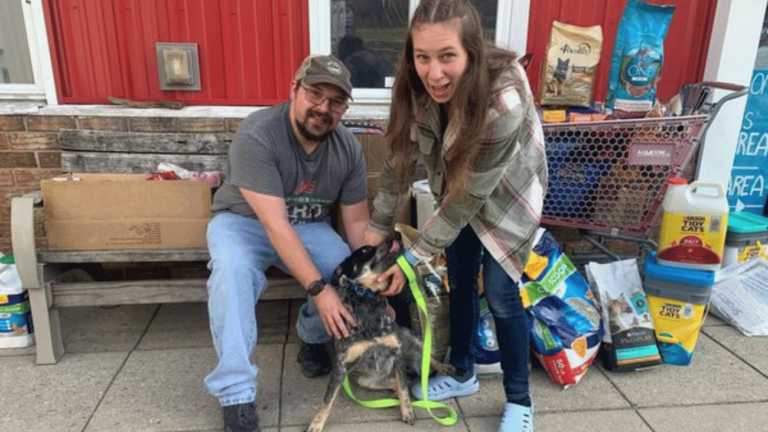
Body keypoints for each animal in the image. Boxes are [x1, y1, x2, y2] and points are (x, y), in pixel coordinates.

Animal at [308, 240, 456, 432]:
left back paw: (442, 367)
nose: (393, 240)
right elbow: (328, 399)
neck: (368, 300)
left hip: (412, 337)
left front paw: (407, 411)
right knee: (397, 382)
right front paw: (317, 422)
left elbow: (404, 389)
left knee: (426, 361)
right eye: (365, 250)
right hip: (367, 381)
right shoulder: (341, 364)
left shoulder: (397, 354)